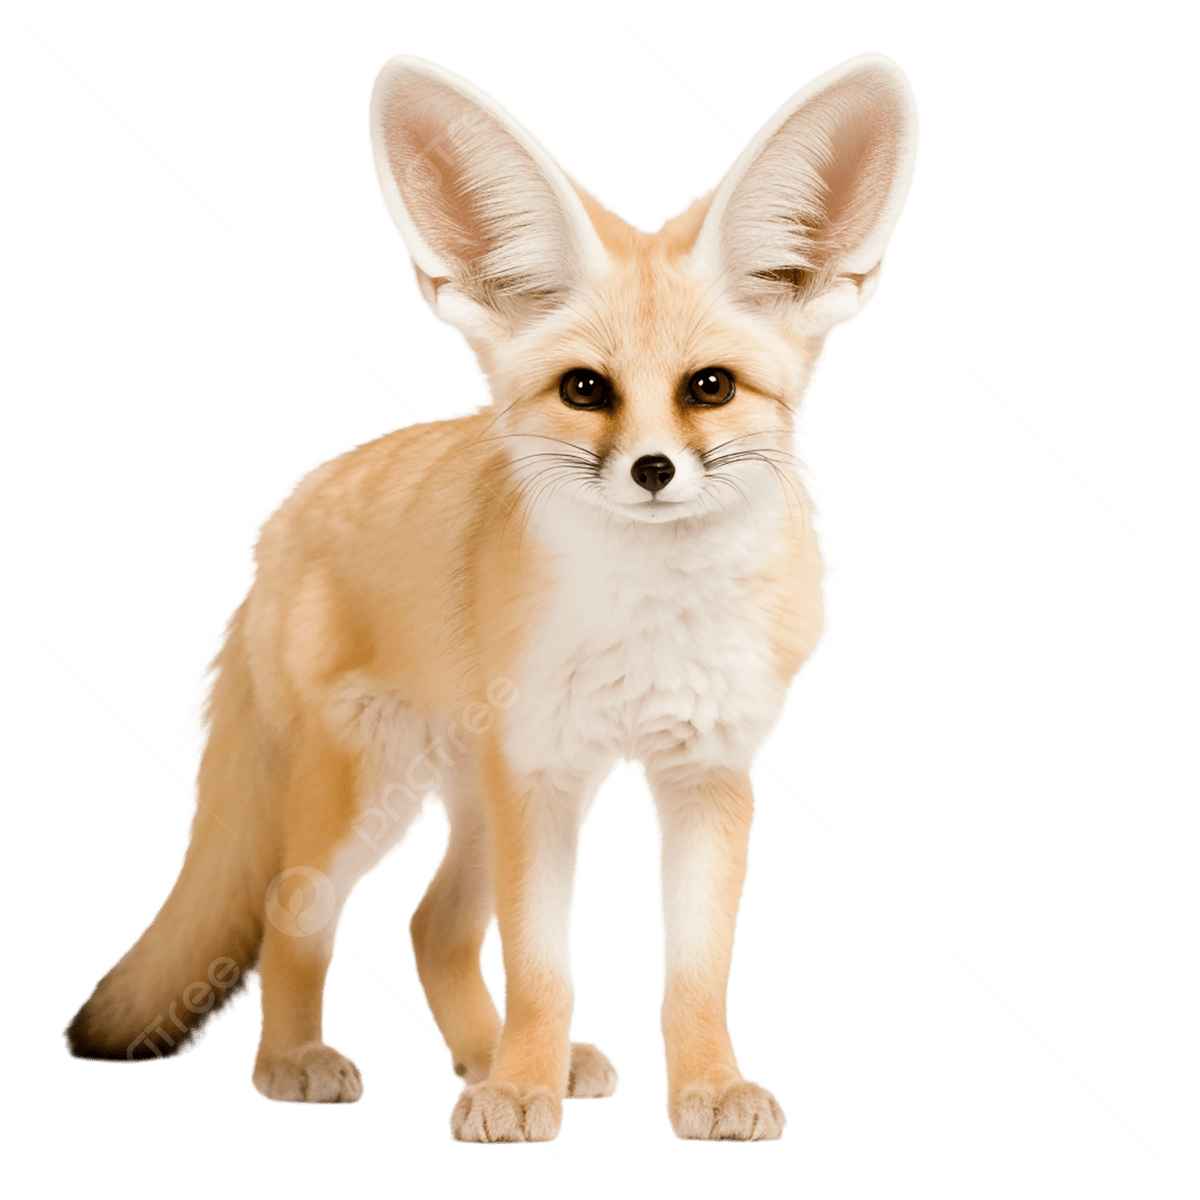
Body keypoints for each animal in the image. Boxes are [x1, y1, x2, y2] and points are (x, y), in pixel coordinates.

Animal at [62, 49, 919, 1144]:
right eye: (586, 390)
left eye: (710, 388)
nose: (651, 471)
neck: (648, 622)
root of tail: (280, 517)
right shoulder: (545, 777)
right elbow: (546, 970)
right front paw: (522, 1094)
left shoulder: (708, 774)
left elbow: (692, 975)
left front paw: (700, 1089)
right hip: (373, 795)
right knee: (297, 909)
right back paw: (301, 1061)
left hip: (468, 794)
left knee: (432, 923)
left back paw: (479, 1059)